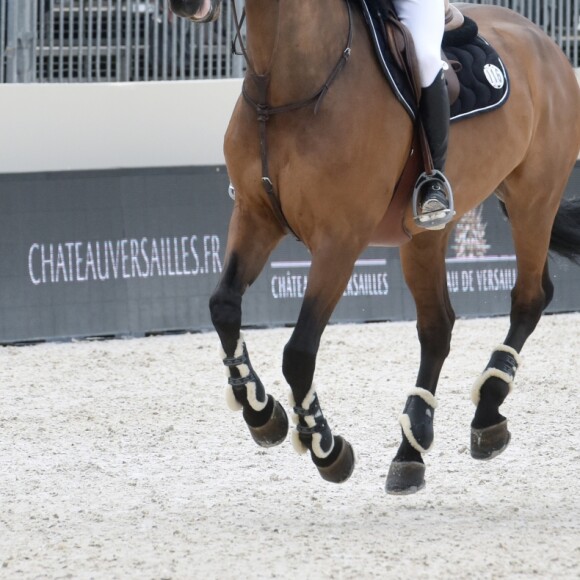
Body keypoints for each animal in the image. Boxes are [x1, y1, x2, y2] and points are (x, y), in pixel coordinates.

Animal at [170, 0, 580, 494]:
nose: (186, 6)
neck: (289, 84)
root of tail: (543, 40)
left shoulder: (339, 241)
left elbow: (299, 351)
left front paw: (324, 446)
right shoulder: (254, 216)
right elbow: (224, 307)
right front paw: (261, 410)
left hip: (533, 199)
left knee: (529, 298)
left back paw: (486, 412)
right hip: (426, 234)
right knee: (437, 327)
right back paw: (411, 452)